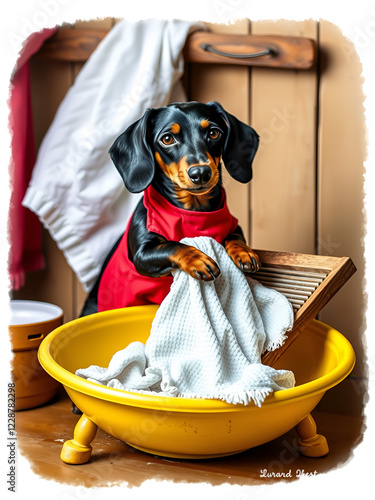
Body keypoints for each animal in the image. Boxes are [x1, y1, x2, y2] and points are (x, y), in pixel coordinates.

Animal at [81, 101, 260, 316]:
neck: (193, 212)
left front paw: (244, 252)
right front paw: (198, 259)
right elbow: (173, 245)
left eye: (214, 133)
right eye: (167, 139)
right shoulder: (142, 255)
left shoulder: (234, 225)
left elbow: (234, 236)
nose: (201, 173)